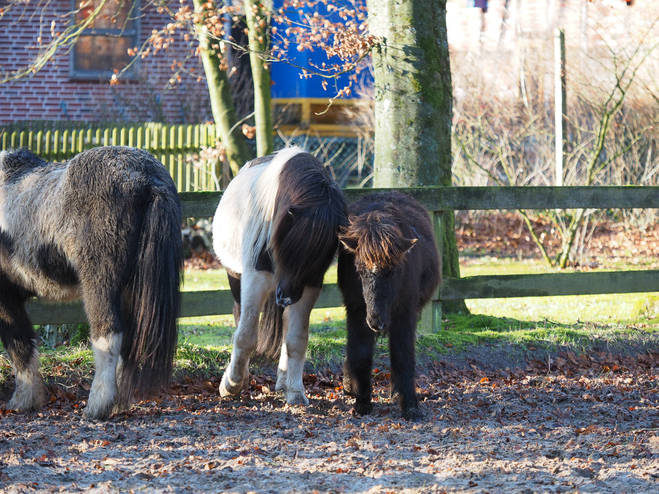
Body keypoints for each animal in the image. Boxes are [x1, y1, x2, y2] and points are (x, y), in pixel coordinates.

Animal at [0, 148, 183, 420]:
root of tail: (147, 179)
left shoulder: (6, 298)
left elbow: (19, 344)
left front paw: (23, 400)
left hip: (100, 285)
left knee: (108, 334)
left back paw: (98, 405)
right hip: (130, 291)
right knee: (129, 342)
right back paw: (118, 402)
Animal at [215, 147, 350, 406]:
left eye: (320, 257)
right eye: (286, 249)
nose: (286, 298)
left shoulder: (308, 287)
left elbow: (296, 340)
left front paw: (296, 392)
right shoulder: (255, 279)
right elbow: (246, 336)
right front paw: (231, 384)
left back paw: (282, 382)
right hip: (236, 277)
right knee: (240, 321)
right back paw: (241, 379)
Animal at [338, 191, 440, 418]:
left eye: (392, 271)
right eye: (359, 270)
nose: (377, 322)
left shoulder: (405, 312)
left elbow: (402, 355)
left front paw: (409, 406)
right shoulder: (356, 311)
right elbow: (360, 353)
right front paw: (362, 402)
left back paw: (396, 392)